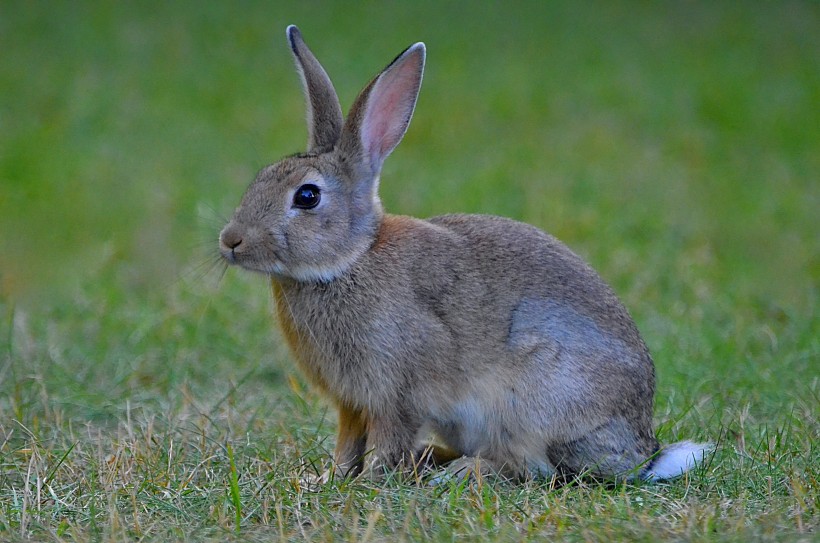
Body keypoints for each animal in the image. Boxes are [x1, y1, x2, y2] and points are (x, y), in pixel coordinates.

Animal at [218, 25, 712, 482]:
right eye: (261, 178)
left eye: (307, 197)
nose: (231, 240)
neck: (349, 260)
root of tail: (643, 454)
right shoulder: (351, 403)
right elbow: (347, 443)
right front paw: (329, 479)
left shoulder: (398, 390)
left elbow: (387, 439)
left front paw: (371, 481)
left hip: (530, 402)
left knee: (534, 469)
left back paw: (458, 472)